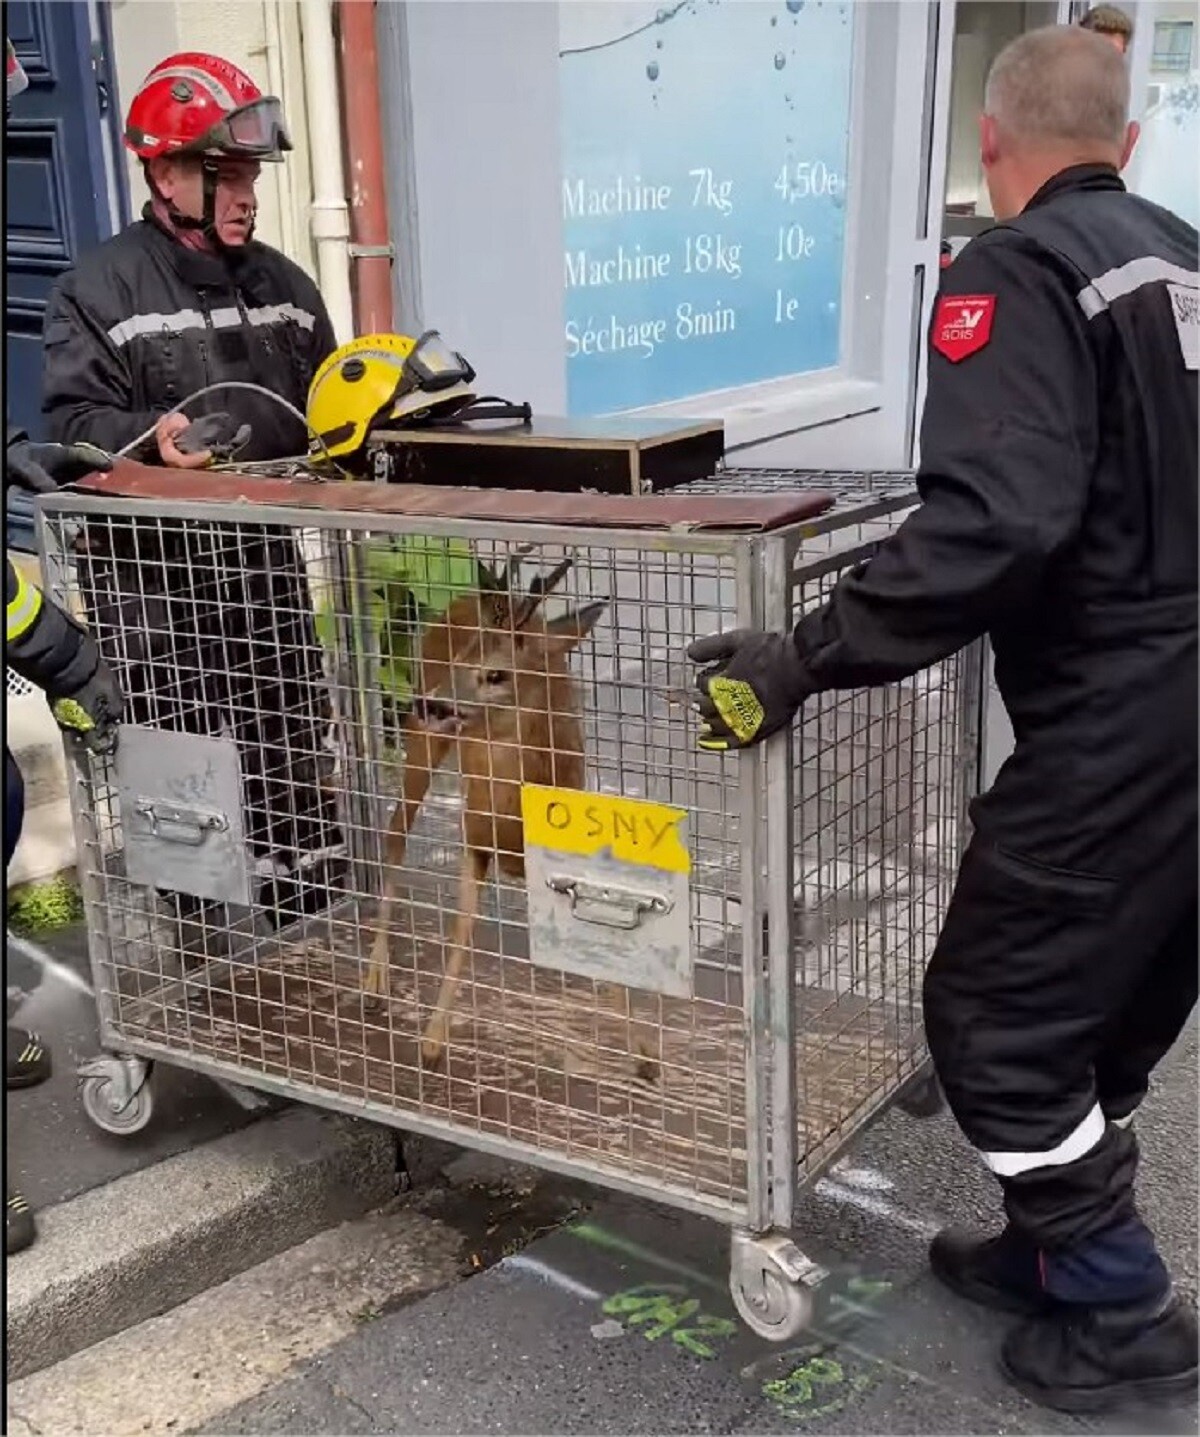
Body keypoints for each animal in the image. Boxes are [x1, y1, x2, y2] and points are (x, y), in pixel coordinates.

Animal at [363, 548, 609, 1069]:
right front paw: (432, 1040)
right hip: (422, 739)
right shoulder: (473, 834)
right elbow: (461, 929)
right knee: (394, 831)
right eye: (463, 659)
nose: (429, 702)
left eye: (496, 673)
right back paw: (374, 980)